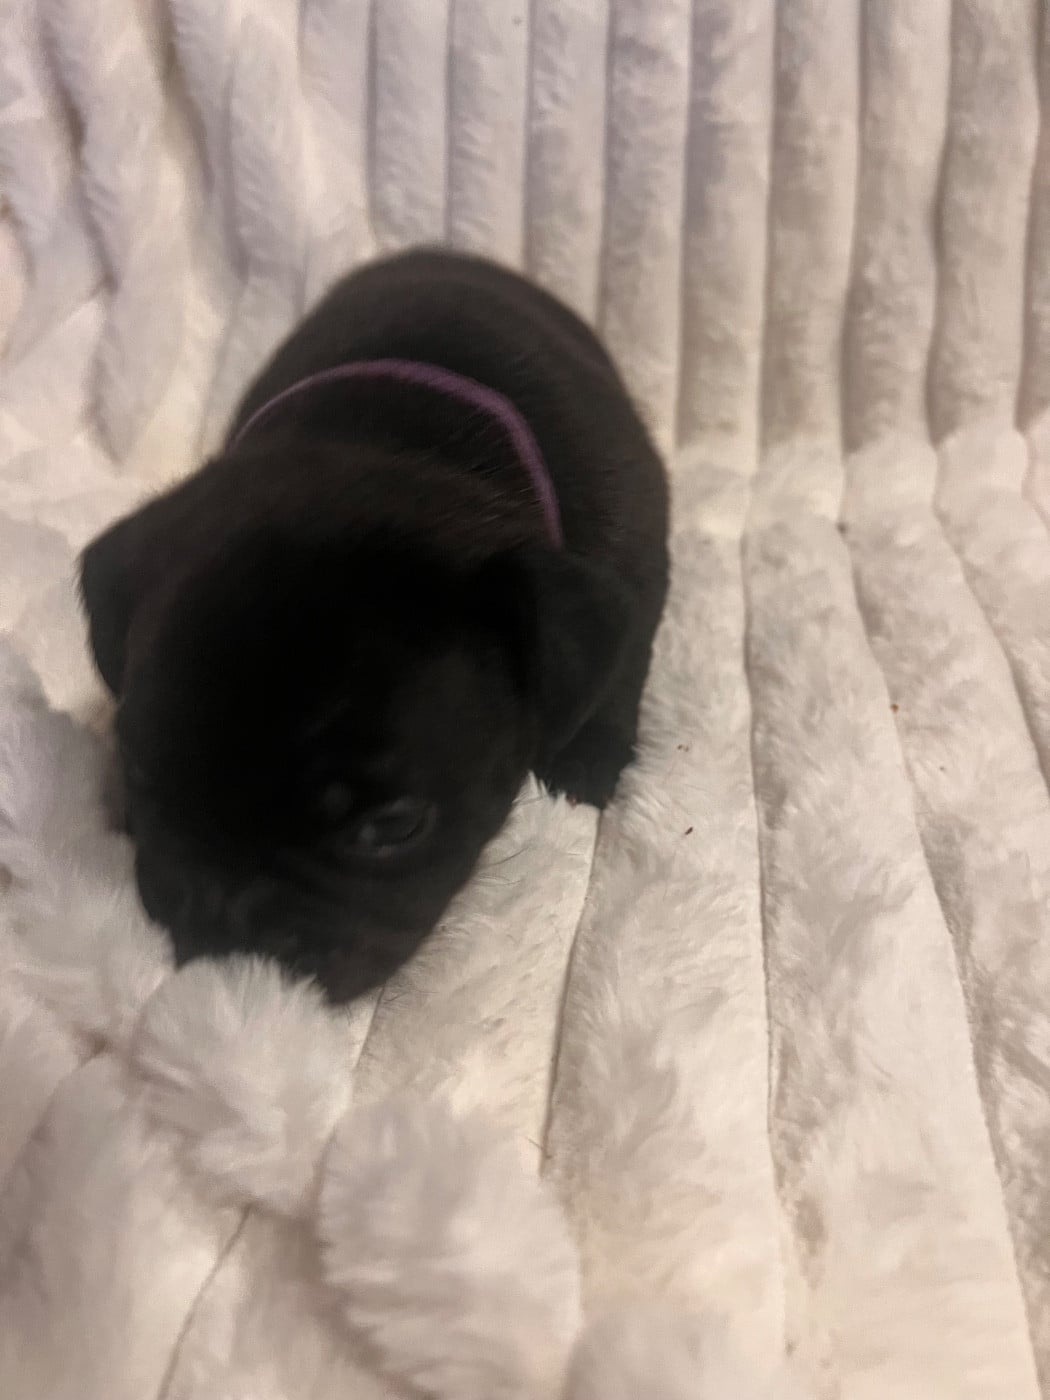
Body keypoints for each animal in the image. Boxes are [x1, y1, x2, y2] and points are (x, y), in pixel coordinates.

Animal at [80, 250, 669, 1001]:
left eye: (391, 827)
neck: (400, 437)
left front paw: (589, 757)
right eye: (138, 774)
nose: (220, 921)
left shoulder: (633, 558)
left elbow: (623, 667)